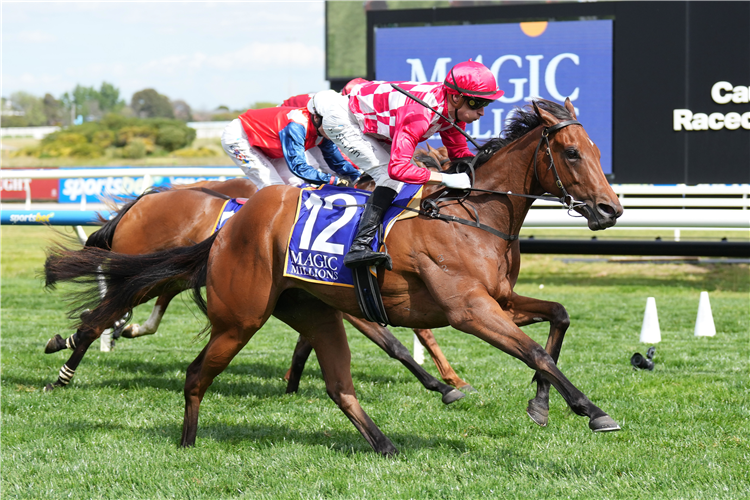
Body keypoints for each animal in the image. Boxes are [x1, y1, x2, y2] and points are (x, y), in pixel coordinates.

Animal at [41, 161, 470, 402]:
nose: (436, 210)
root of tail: (141, 201)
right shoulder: (352, 299)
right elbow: (396, 343)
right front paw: (442, 383)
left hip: (163, 276)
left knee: (107, 316)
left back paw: (80, 341)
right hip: (142, 274)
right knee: (99, 317)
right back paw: (63, 373)